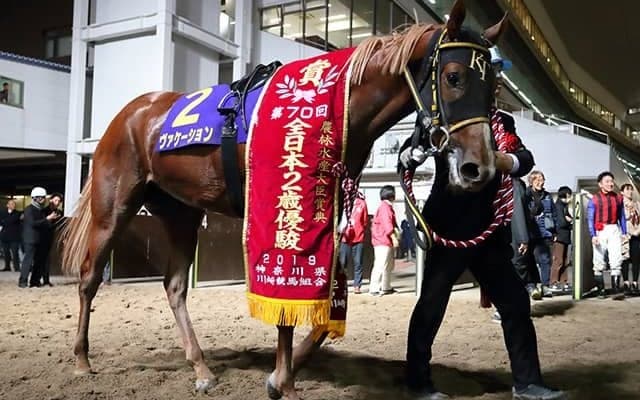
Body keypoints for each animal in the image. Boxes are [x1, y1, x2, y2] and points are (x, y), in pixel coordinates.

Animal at [60, 1, 508, 398]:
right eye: (454, 76)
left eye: (493, 86)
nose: (480, 167)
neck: (335, 104)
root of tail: (128, 115)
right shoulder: (283, 204)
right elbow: (286, 298)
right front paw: (286, 382)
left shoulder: (326, 210)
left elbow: (320, 301)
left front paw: (281, 375)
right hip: (113, 208)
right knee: (89, 277)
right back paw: (81, 360)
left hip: (181, 212)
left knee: (173, 286)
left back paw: (202, 369)